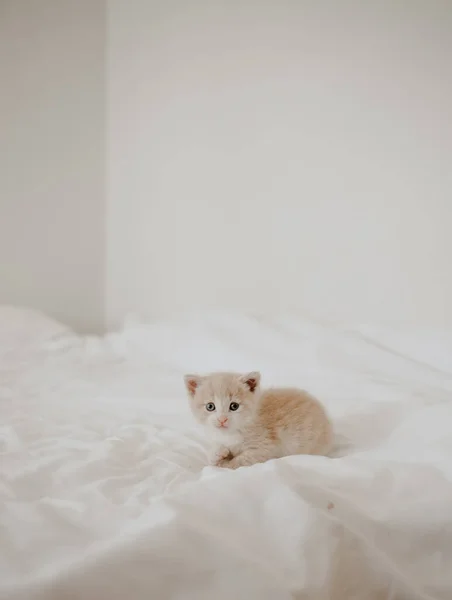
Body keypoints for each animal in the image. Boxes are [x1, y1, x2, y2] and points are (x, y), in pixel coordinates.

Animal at [184, 370, 332, 468]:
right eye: (210, 406)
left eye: (234, 406)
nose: (222, 419)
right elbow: (212, 453)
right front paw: (218, 454)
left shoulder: (263, 448)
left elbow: (239, 461)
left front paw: (225, 464)